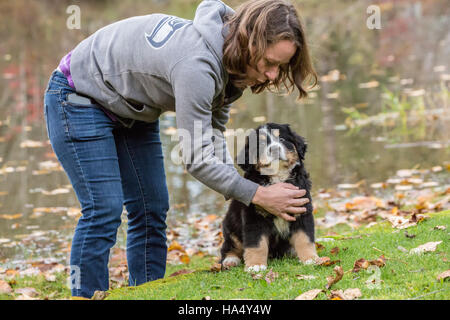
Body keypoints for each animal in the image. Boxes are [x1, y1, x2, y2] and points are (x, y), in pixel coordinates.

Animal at [220, 122, 318, 272]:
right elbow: (256, 244)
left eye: (282, 139)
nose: (275, 149)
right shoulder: (253, 217)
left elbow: (305, 238)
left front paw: (310, 259)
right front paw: (255, 265)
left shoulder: (302, 209)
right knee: (229, 247)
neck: (278, 177)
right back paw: (230, 260)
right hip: (230, 227)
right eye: (261, 144)